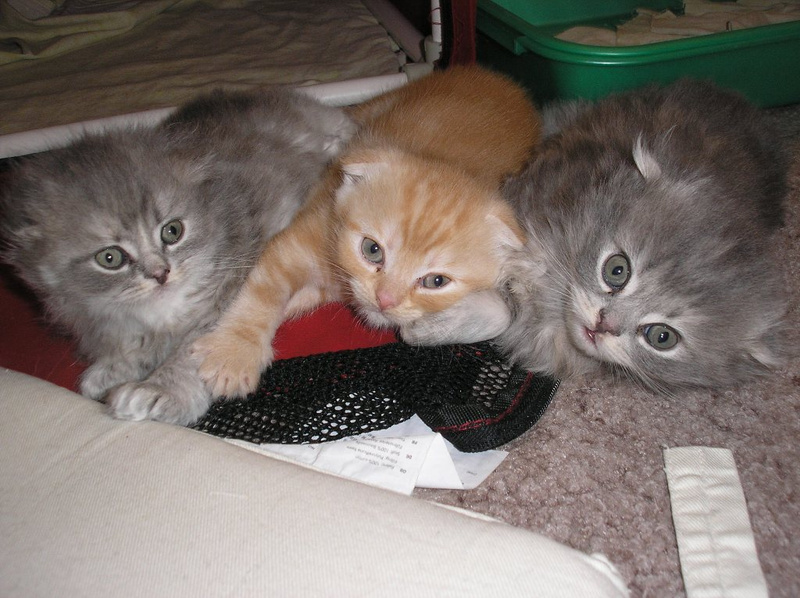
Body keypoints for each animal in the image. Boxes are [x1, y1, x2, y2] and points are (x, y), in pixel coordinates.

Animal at [0, 87, 355, 424]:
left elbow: (191, 355)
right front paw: (112, 369)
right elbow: (131, 345)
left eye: (172, 231)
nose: (160, 273)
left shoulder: (228, 288)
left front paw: (158, 390)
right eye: (110, 258)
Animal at [192, 65, 542, 398]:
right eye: (372, 250)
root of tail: (503, 82)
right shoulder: (308, 231)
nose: (385, 300)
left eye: (436, 281)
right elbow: (265, 286)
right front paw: (233, 353)